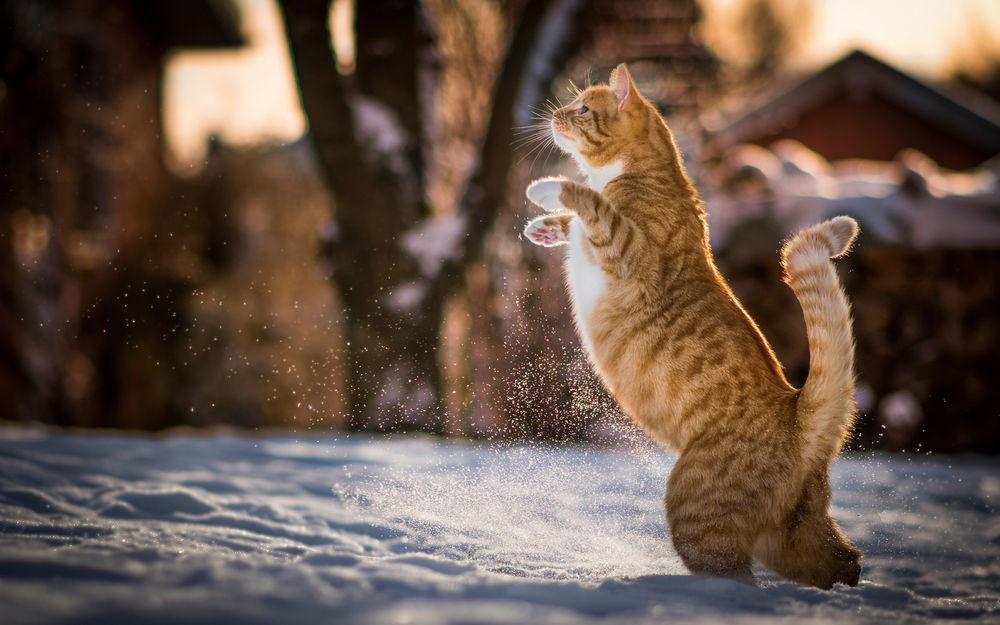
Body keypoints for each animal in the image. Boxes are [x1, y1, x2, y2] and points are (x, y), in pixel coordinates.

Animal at [524, 63, 860, 584]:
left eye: (581, 109)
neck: (635, 173)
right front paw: (542, 227)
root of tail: (795, 408)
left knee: (733, 578)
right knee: (848, 562)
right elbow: (578, 218)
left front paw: (545, 189)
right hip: (794, 542)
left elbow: (589, 203)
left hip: (695, 510)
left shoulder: (629, 252)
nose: (554, 114)